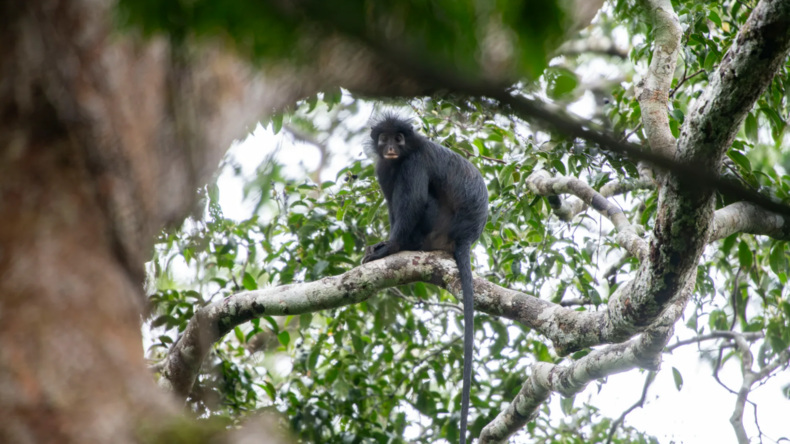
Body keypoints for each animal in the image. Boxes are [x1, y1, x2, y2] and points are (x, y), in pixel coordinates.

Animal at [362, 113, 488, 444]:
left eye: (399, 138)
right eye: (384, 139)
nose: (391, 147)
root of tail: (466, 236)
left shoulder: (414, 161)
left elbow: (413, 201)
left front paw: (391, 247)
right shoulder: (384, 167)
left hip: (436, 225)